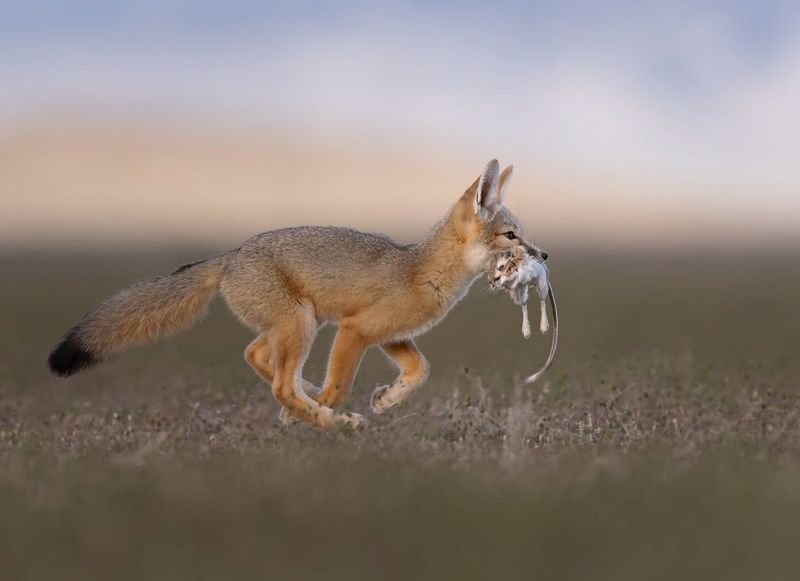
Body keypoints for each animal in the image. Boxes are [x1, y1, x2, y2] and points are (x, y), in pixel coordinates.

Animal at [48, 159, 548, 430]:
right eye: (511, 236)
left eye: (523, 234)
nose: (545, 253)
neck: (421, 268)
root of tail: (231, 255)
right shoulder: (355, 331)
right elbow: (340, 386)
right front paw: (328, 410)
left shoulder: (388, 336)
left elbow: (421, 369)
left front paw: (386, 399)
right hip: (302, 323)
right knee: (280, 384)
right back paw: (325, 419)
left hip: (298, 322)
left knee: (257, 357)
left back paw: (307, 399)